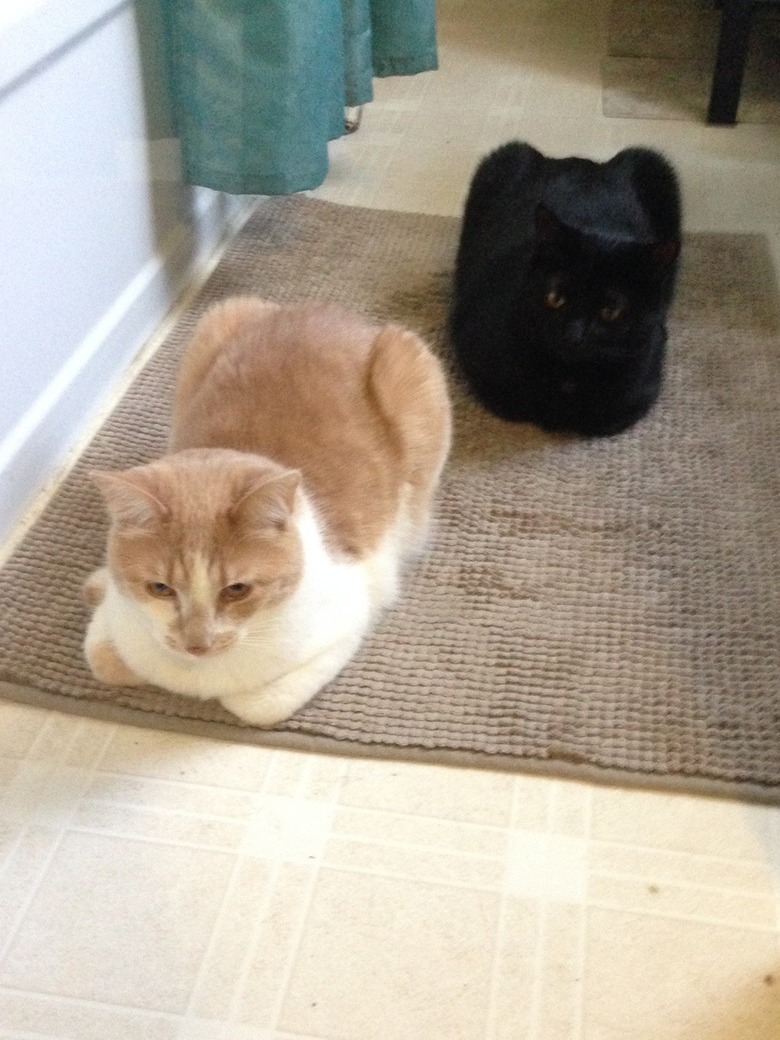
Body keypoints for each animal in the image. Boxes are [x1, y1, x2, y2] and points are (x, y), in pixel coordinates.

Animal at [83, 297, 451, 728]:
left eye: (237, 589)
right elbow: (103, 658)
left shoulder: (352, 614)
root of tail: (319, 310)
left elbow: (257, 704)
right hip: (217, 321)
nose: (197, 643)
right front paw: (99, 591)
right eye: (160, 588)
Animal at [449, 141, 682, 434]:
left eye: (611, 311)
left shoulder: (642, 381)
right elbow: (514, 402)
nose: (573, 335)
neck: (568, 380)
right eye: (555, 298)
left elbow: (604, 415)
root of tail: (577, 161)